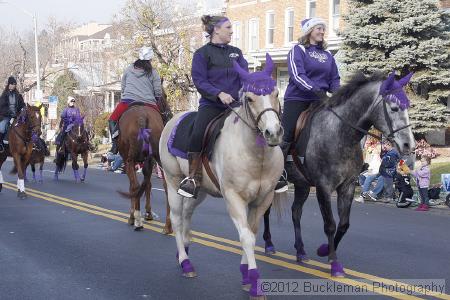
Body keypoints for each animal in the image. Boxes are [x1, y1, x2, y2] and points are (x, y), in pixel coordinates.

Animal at [116, 98, 172, 234]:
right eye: (164, 97)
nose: (169, 113)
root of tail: (142, 116)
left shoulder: (129, 161)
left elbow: (134, 187)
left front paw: (133, 216)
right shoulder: (149, 161)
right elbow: (148, 185)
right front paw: (148, 213)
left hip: (130, 161)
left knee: (135, 187)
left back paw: (137, 221)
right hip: (158, 158)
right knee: (166, 186)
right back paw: (168, 226)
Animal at [160, 53, 284, 298]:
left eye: (275, 93)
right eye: (250, 98)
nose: (273, 133)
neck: (256, 155)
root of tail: (173, 120)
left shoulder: (262, 200)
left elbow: (252, 233)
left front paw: (246, 275)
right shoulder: (234, 198)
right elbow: (246, 237)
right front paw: (253, 281)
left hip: (198, 191)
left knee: (187, 215)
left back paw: (184, 250)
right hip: (172, 181)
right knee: (177, 219)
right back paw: (185, 262)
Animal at [264, 71, 414, 278]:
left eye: (409, 106)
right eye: (394, 107)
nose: (409, 145)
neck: (340, 134)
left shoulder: (347, 186)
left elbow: (343, 224)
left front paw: (325, 250)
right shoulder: (323, 188)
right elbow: (330, 224)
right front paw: (334, 263)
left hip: (302, 185)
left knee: (296, 212)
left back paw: (300, 251)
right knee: (266, 210)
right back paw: (269, 244)